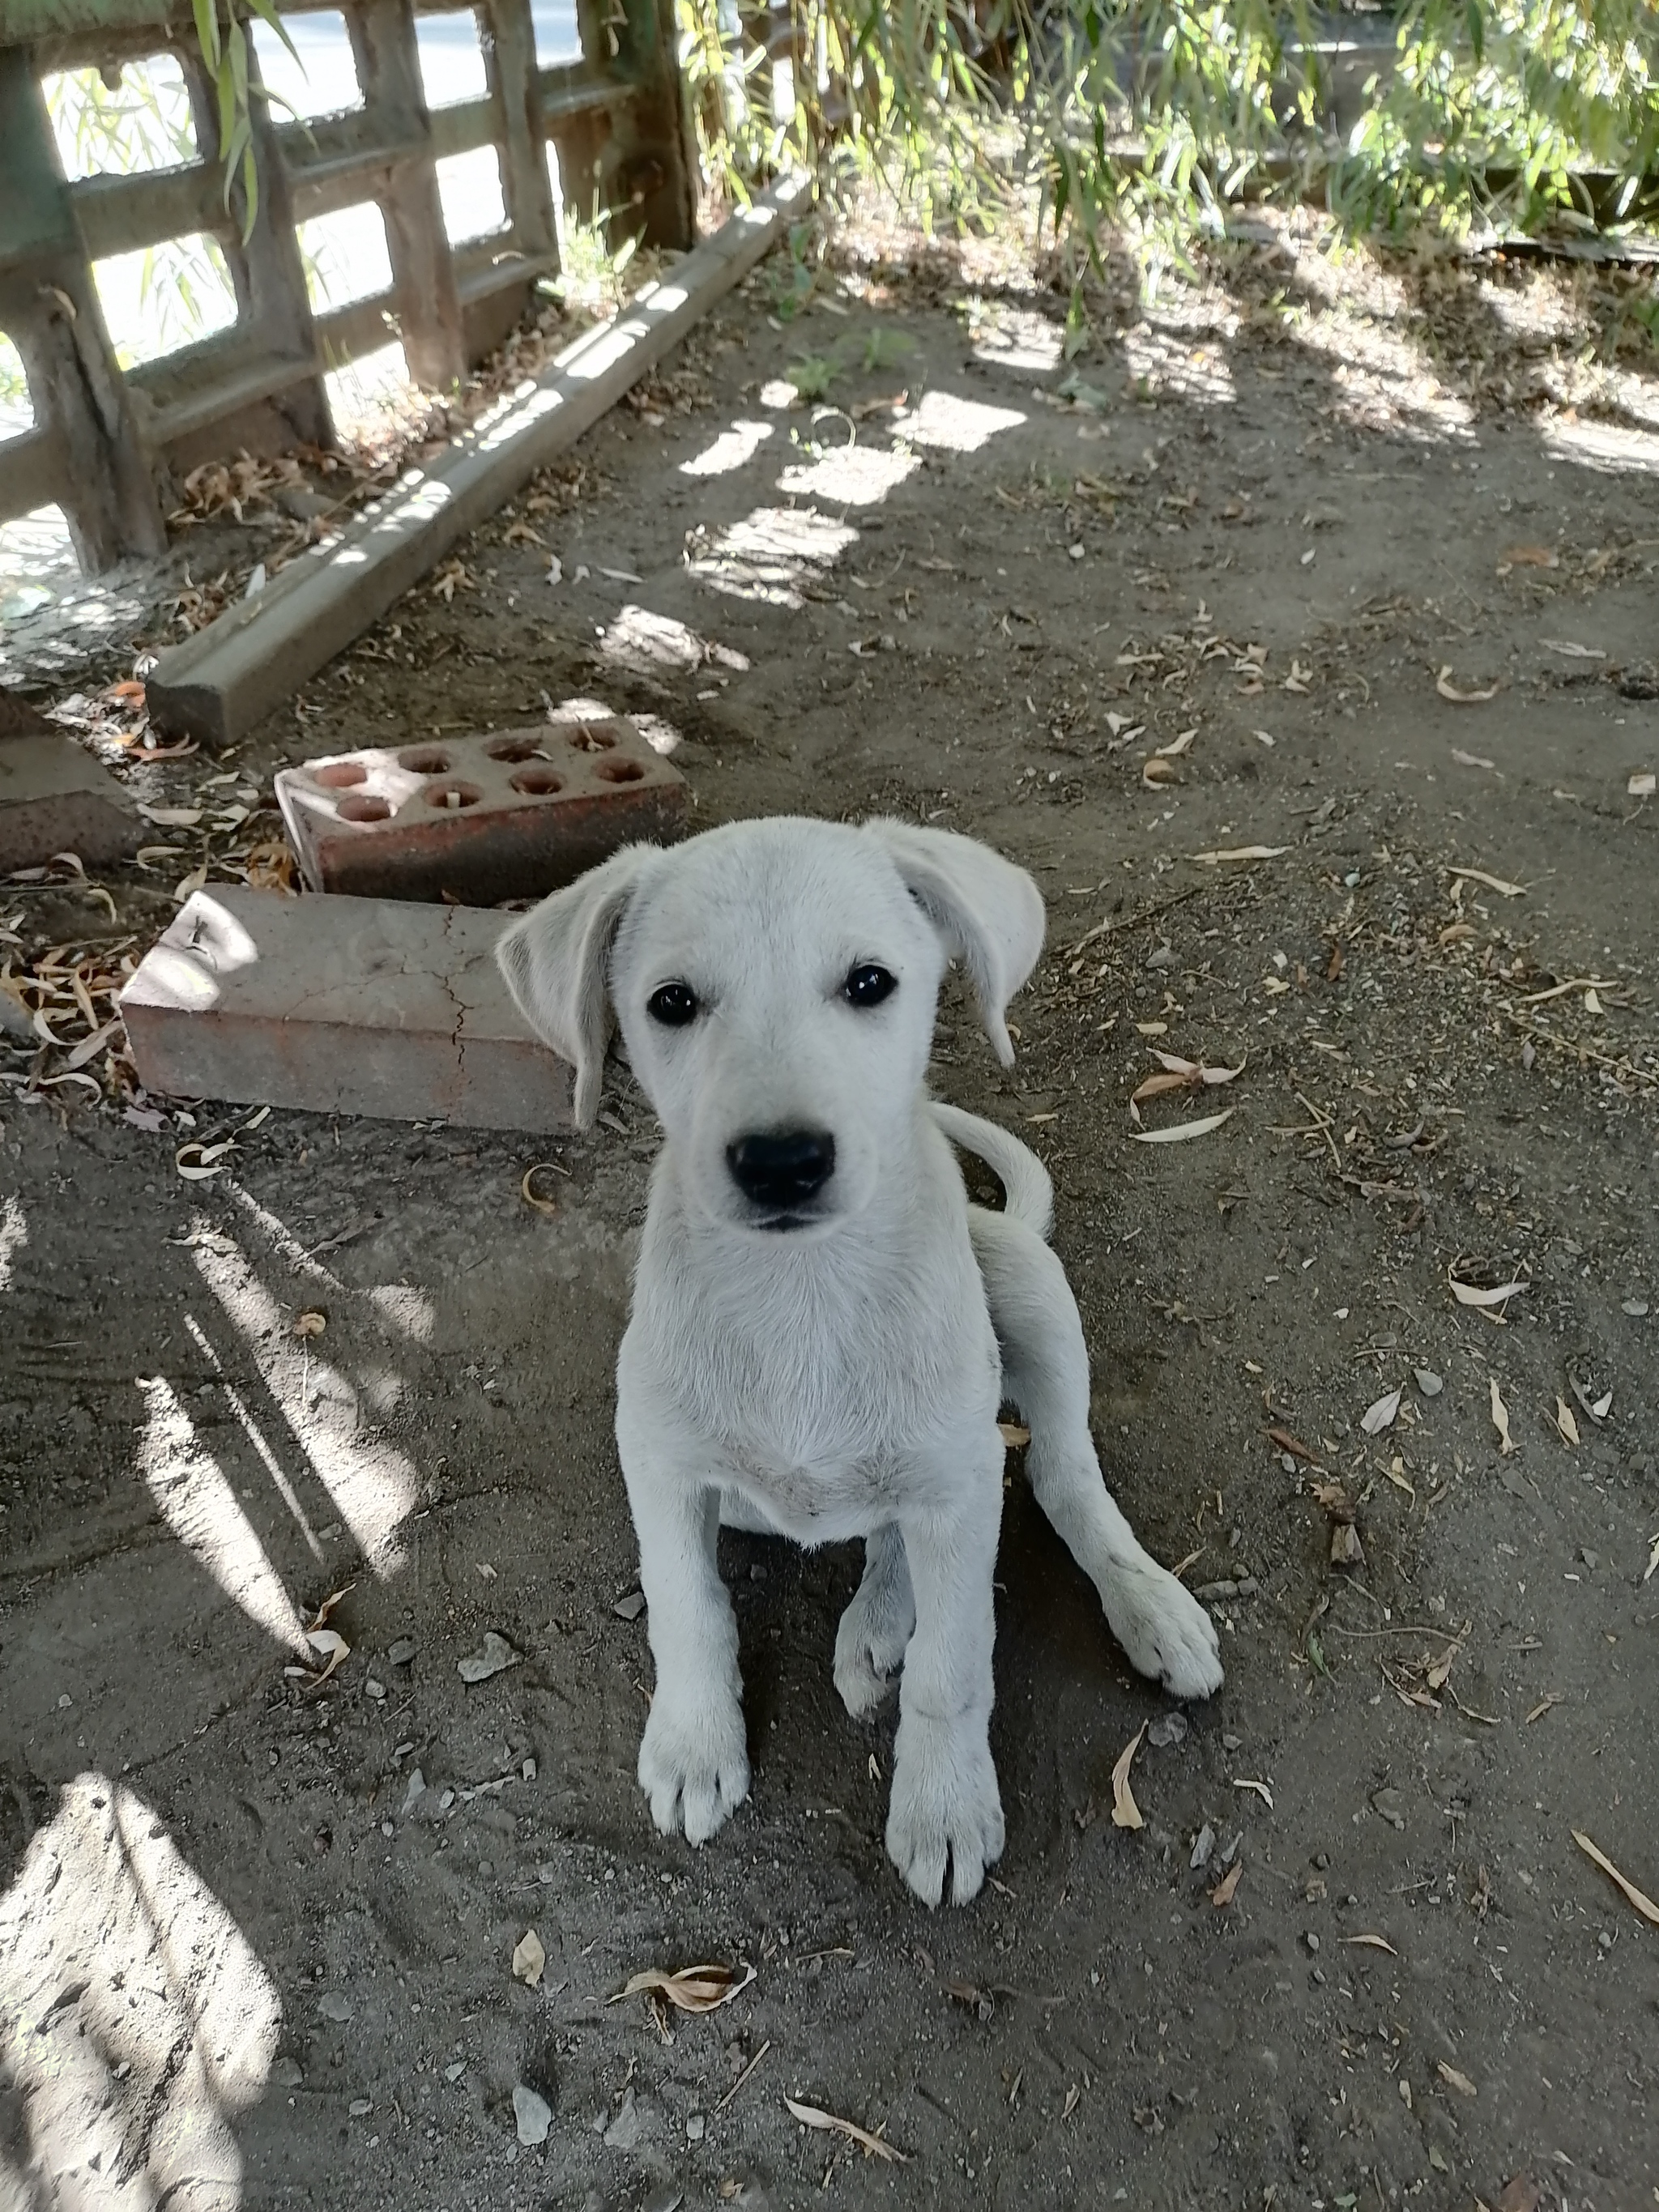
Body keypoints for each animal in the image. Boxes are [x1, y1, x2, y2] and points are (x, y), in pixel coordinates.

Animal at [493, 814, 1221, 1902]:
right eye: (671, 1003)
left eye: (870, 982)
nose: (781, 1162)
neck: (802, 1292)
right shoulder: (659, 1461)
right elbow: (687, 1605)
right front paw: (695, 1744)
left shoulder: (956, 1485)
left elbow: (956, 1665)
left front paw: (944, 1806)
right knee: (890, 1524)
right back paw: (880, 1619)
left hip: (1022, 1293)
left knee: (1055, 1478)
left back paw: (1142, 1607)